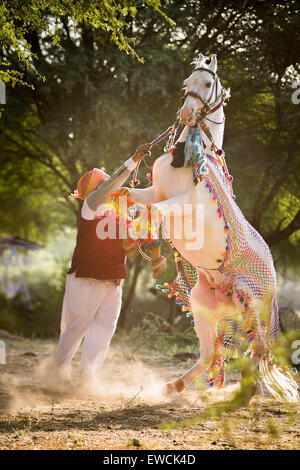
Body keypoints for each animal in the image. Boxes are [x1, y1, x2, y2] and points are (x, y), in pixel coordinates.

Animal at [126, 53, 298, 402]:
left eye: (207, 83)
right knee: (209, 355)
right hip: (204, 307)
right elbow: (131, 196)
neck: (193, 155)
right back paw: (174, 386)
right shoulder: (155, 191)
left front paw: (153, 252)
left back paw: (245, 392)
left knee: (258, 349)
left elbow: (152, 211)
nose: (186, 113)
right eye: (186, 84)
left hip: (252, 305)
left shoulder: (182, 204)